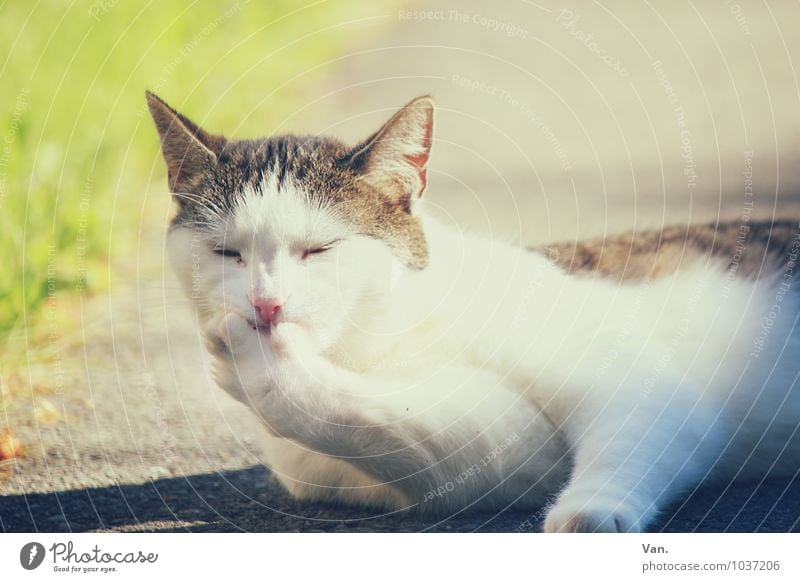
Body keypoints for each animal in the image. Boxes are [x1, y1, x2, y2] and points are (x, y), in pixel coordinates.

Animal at [147, 92, 800, 532]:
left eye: (320, 249)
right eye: (225, 252)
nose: (266, 302)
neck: (376, 343)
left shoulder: (645, 389)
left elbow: (639, 435)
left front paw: (590, 512)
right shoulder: (497, 455)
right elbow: (385, 423)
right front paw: (259, 367)